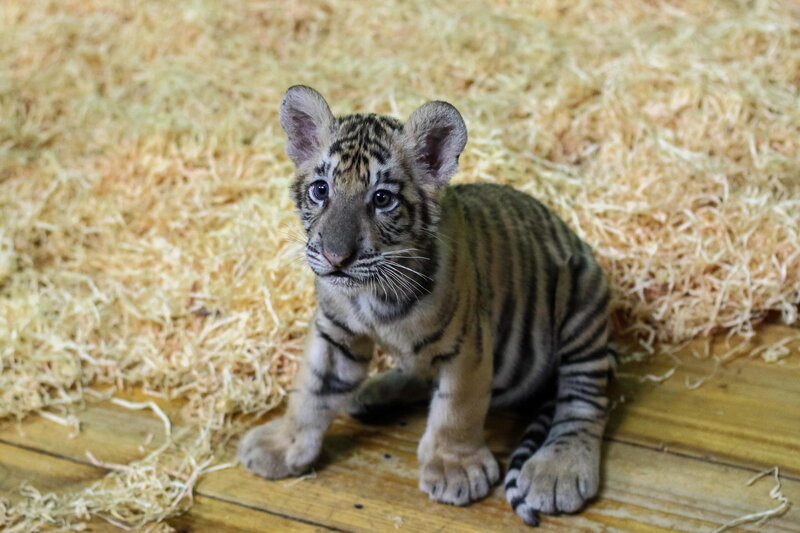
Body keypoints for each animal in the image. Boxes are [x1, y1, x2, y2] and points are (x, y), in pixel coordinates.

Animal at [238, 85, 612, 527]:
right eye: (321, 190)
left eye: (382, 199)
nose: (335, 257)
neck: (372, 295)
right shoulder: (335, 333)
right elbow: (310, 389)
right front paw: (281, 445)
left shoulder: (468, 345)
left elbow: (457, 408)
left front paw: (455, 469)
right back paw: (372, 394)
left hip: (581, 299)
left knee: (584, 399)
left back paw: (558, 470)